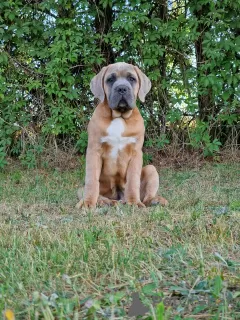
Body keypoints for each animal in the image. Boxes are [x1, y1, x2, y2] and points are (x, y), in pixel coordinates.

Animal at [76, 62, 168, 210]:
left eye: (132, 79)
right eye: (110, 79)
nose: (122, 89)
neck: (119, 116)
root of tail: (119, 198)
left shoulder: (136, 153)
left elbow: (133, 180)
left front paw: (134, 202)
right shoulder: (94, 151)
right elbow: (92, 180)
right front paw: (88, 202)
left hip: (151, 169)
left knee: (146, 196)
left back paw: (154, 200)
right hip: (82, 188)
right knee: (92, 191)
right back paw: (104, 201)